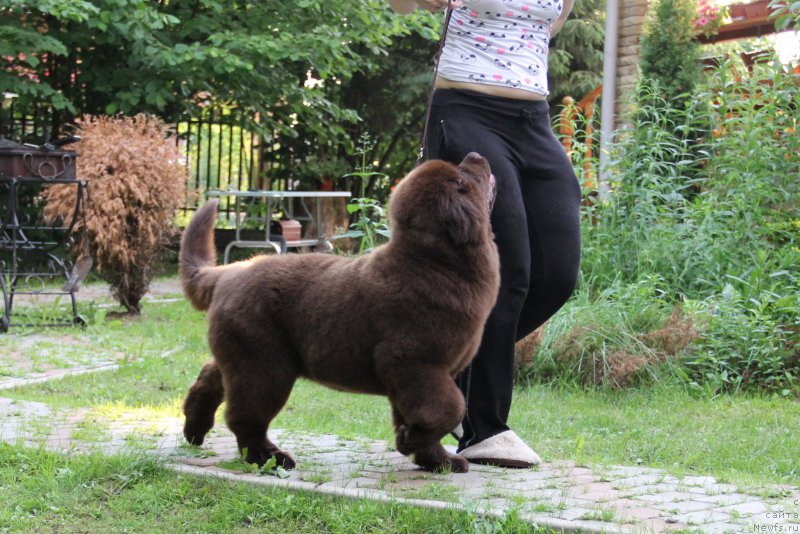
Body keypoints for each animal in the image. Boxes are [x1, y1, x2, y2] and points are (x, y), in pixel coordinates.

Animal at [180, 153, 500, 476]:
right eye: (461, 178)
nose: (475, 155)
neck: (437, 263)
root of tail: (228, 271)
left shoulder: (410, 375)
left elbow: (417, 413)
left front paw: (437, 460)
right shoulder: (415, 362)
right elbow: (449, 408)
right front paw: (411, 441)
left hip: (241, 354)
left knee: (209, 379)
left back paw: (194, 430)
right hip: (263, 364)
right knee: (246, 416)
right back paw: (268, 457)